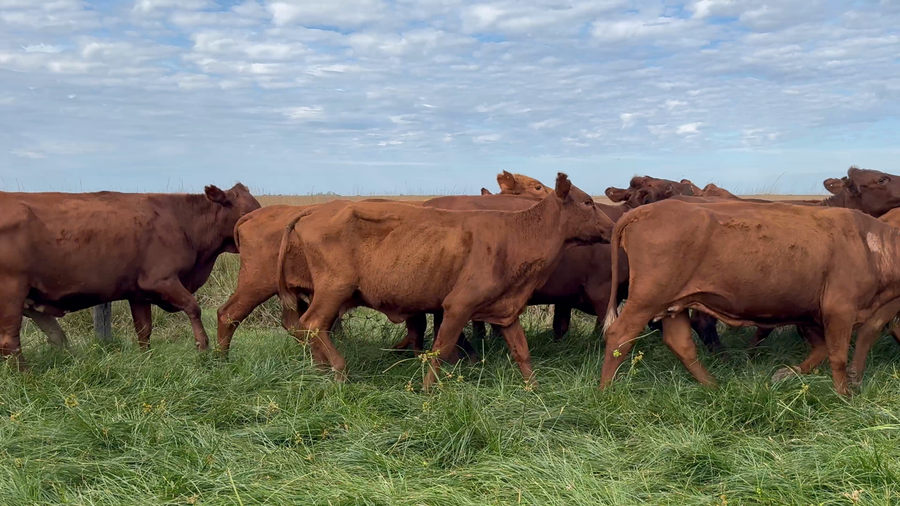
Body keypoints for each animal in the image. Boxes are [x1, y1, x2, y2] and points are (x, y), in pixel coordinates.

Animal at [0, 184, 261, 368]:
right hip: (11, 293)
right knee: (10, 341)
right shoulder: (162, 280)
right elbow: (193, 308)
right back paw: (25, 376)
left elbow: (144, 330)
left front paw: (147, 360)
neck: (183, 221)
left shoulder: (139, 293)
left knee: (52, 337)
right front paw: (202, 347)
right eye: (245, 211)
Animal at [275, 174, 613, 388]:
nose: (612, 226)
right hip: (334, 289)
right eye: (587, 202)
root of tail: (315, 210)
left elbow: (522, 352)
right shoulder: (457, 306)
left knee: (308, 327)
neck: (514, 233)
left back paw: (321, 368)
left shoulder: (505, 309)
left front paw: (535, 390)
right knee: (312, 323)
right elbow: (439, 350)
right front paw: (427, 391)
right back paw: (339, 371)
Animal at [599, 199, 900, 396]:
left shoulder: (813, 313)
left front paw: (786, 373)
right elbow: (837, 355)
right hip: (647, 298)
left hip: (673, 303)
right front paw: (844, 396)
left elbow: (823, 348)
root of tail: (647, 209)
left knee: (681, 343)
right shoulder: (839, 308)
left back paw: (714, 387)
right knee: (620, 335)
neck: (871, 245)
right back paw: (605, 392)